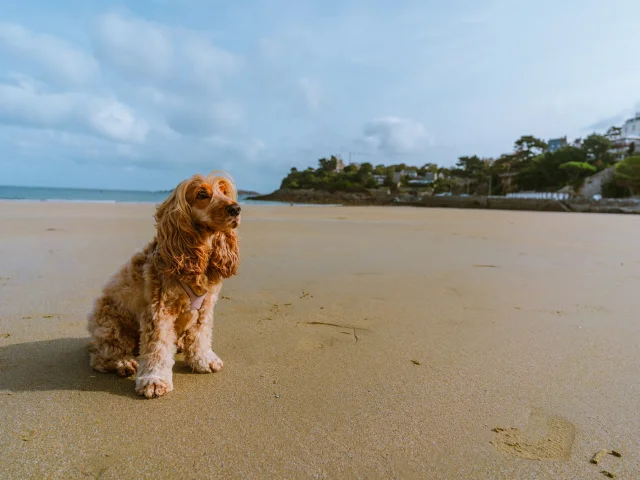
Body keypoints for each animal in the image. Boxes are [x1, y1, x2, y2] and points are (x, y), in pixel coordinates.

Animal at [87, 172, 240, 398]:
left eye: (224, 192)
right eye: (202, 194)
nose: (236, 208)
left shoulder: (205, 308)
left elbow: (201, 335)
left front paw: (204, 360)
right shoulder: (159, 311)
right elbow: (157, 348)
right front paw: (154, 380)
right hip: (110, 323)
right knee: (102, 356)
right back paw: (123, 362)